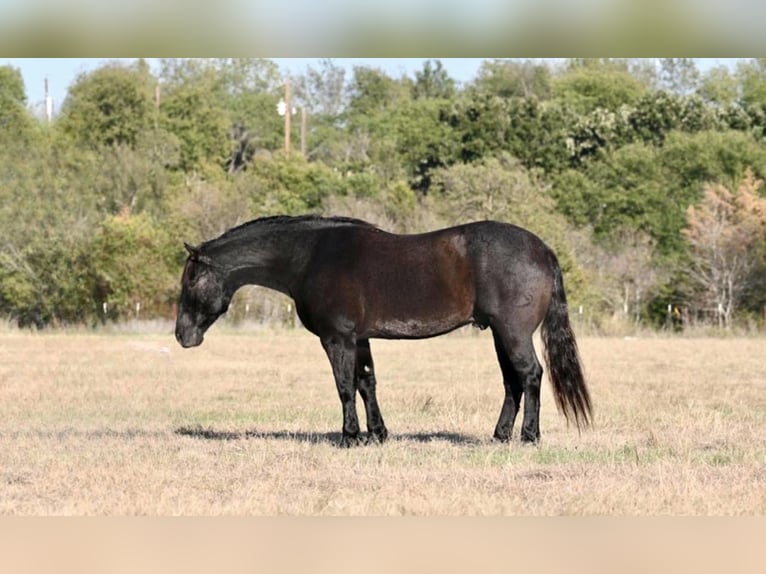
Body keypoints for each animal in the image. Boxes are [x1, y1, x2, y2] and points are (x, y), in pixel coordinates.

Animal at [176, 214, 592, 448]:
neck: (309, 256)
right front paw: (377, 434)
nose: (182, 336)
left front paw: (349, 437)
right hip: (499, 334)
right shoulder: (359, 339)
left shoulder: (337, 338)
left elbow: (345, 386)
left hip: (513, 333)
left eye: (190, 280)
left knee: (531, 375)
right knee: (512, 382)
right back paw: (501, 435)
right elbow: (366, 383)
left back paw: (529, 437)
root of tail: (543, 250)